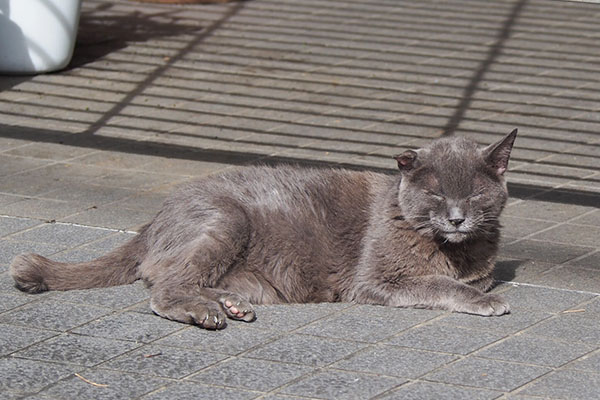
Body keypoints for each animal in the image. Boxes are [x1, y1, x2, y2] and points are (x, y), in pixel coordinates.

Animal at [8, 130, 516, 330]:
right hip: (225, 219)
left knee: (180, 277)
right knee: (164, 287)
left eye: (475, 194)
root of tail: (153, 218)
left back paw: (230, 305)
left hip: (254, 273)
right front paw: (486, 301)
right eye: (436, 194)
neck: (455, 251)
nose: (457, 217)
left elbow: (464, 281)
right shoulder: (375, 280)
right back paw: (206, 313)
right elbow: (437, 284)